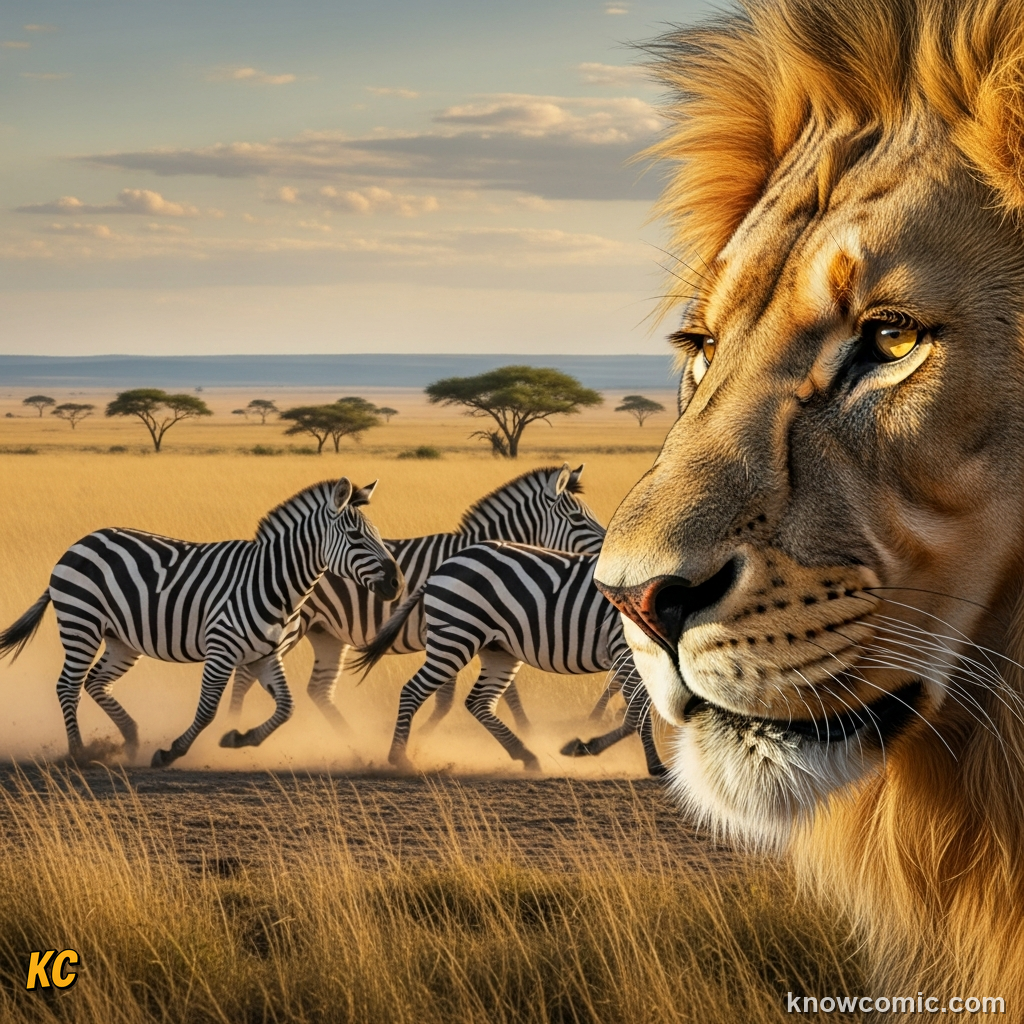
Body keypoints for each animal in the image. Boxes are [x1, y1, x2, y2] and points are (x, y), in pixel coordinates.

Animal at [0, 478, 402, 766]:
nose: (397, 582)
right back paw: (80, 753)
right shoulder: (221, 650)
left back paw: (129, 740)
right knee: (68, 685)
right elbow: (208, 709)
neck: (271, 582)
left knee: (96, 681)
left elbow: (286, 708)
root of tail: (80, 542)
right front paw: (170, 752)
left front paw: (238, 738)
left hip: (121, 640)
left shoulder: (266, 654)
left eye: (378, 533)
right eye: (355, 536)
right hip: (80, 621)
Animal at [228, 463, 606, 733]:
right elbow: (470, 696)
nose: (608, 551)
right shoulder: (467, 629)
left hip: (326, 632)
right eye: (577, 518)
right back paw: (231, 726)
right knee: (247, 673)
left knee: (317, 688)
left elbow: (463, 696)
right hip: (291, 625)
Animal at [354, 541, 666, 776]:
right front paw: (655, 766)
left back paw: (526, 756)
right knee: (413, 690)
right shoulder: (625, 651)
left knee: (478, 702)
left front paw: (584, 746)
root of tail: (443, 566)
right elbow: (636, 713)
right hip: (456, 636)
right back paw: (399, 758)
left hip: (498, 651)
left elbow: (633, 711)